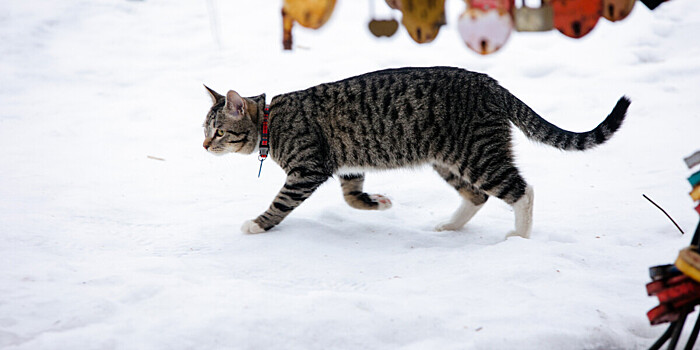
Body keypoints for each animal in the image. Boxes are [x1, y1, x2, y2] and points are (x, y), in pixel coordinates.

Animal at [201, 66, 628, 238]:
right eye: (204, 130)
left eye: (218, 131)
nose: (203, 145)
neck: (271, 123)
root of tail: (490, 82)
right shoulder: (348, 163)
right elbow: (352, 196)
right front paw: (378, 203)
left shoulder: (308, 169)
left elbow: (281, 202)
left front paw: (258, 224)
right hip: (450, 160)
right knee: (477, 196)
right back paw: (450, 227)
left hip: (477, 154)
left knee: (522, 191)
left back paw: (519, 238)